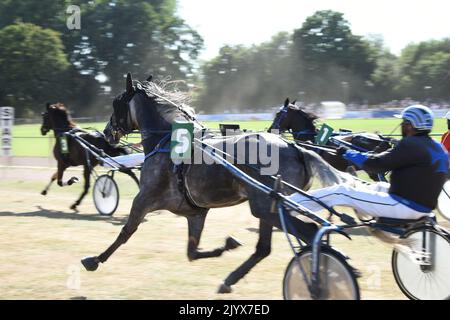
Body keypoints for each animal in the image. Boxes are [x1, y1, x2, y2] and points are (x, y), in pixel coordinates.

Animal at [79, 74, 344, 294]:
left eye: (116, 103)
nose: (106, 132)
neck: (165, 141)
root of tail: (294, 148)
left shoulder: (144, 198)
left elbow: (126, 231)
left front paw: (95, 259)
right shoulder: (195, 212)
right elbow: (192, 253)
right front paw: (226, 245)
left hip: (265, 205)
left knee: (308, 232)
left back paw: (318, 282)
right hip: (268, 207)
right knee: (264, 248)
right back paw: (230, 280)